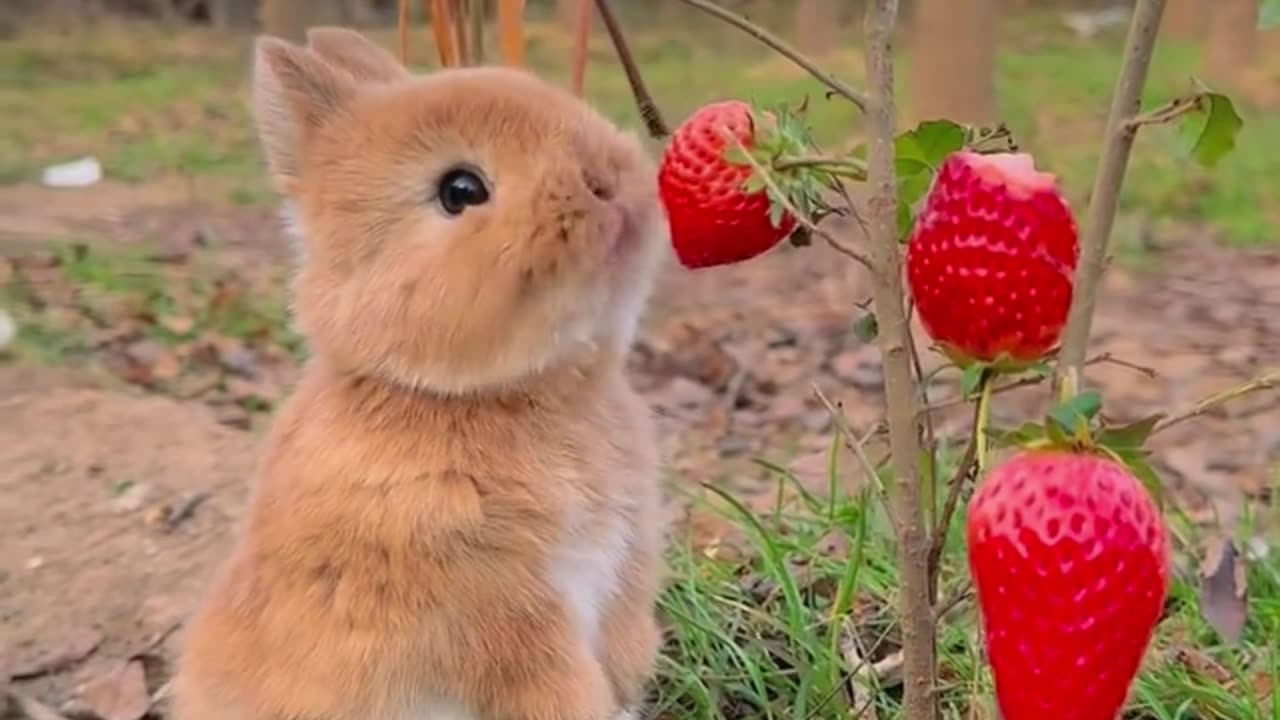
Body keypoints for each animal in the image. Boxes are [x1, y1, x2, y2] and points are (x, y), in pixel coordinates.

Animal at [170, 27, 670, 720]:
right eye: (460, 190)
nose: (609, 183)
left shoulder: (622, 565)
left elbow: (623, 647)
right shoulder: (504, 614)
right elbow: (558, 686)